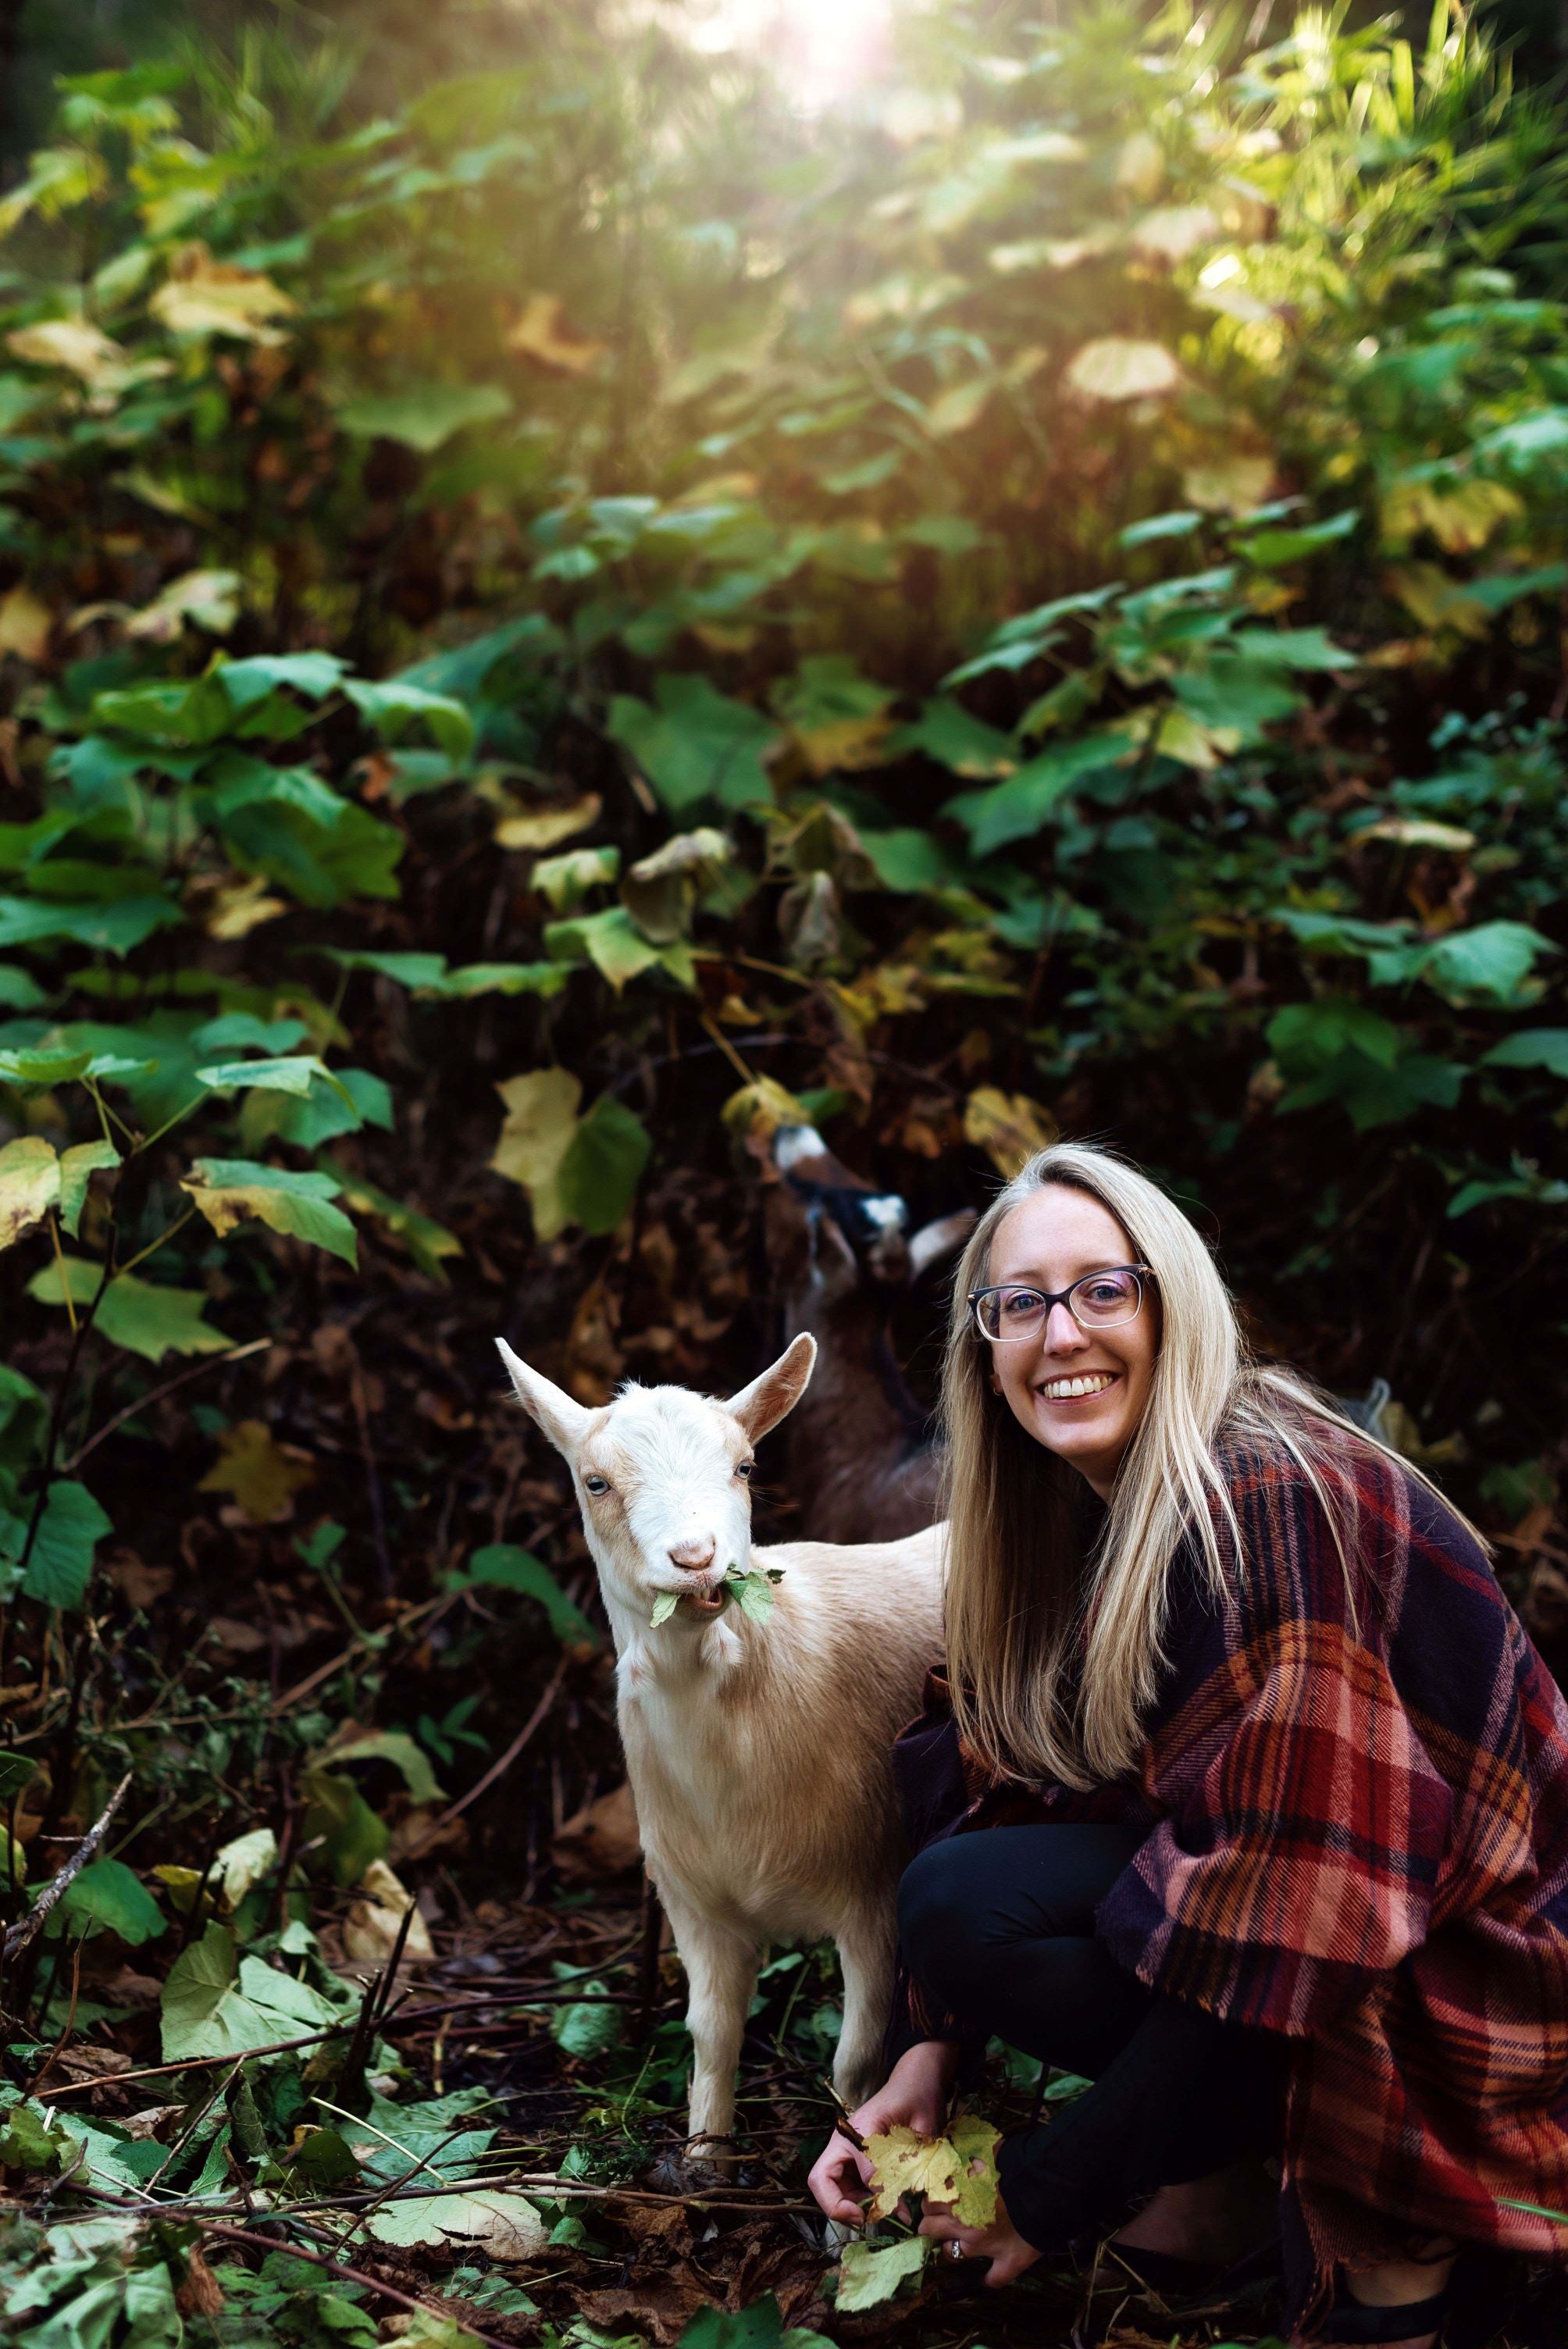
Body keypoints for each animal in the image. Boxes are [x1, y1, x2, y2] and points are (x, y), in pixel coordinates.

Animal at [495, 1334, 948, 2151]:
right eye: (596, 1482)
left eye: (743, 1467)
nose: (695, 1558)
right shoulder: (695, 1903)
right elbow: (711, 2039)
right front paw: (705, 2161)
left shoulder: (874, 1893)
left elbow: (859, 2058)